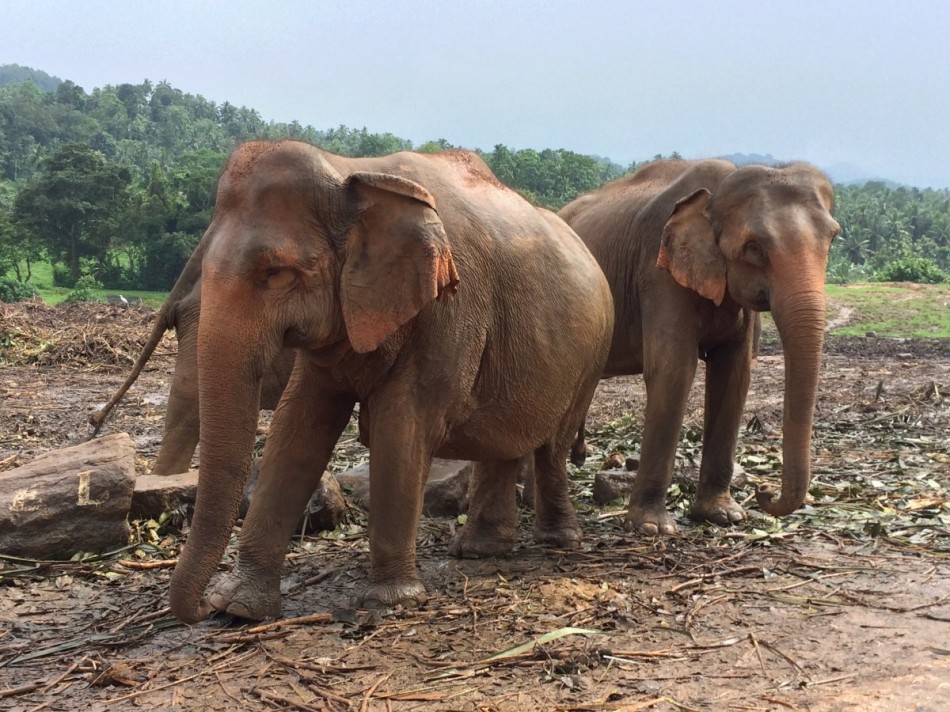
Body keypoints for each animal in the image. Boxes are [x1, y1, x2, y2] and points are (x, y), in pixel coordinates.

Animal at [169, 139, 616, 624]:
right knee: (504, 441)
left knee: (552, 445)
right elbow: (298, 427)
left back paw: (558, 541)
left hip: (592, 357)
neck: (351, 171)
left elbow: (403, 425)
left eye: (276, 273)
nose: (200, 609)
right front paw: (240, 606)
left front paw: (389, 601)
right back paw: (479, 551)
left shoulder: (450, 308)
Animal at [556, 157, 840, 536]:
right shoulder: (658, 272)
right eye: (754, 248)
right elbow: (673, 370)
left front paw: (724, 515)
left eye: (832, 238)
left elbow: (734, 375)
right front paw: (652, 527)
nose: (763, 492)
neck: (717, 192)